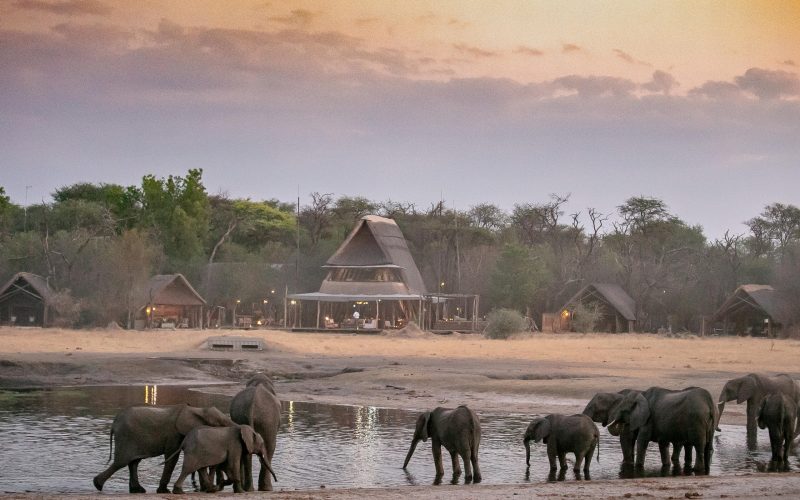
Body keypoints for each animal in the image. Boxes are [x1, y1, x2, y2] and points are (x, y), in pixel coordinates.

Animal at [93, 404, 235, 493]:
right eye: (221, 424)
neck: (198, 409)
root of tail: (114, 423)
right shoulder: (174, 434)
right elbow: (172, 458)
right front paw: (164, 491)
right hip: (126, 437)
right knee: (121, 462)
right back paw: (98, 485)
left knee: (133, 462)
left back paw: (137, 490)